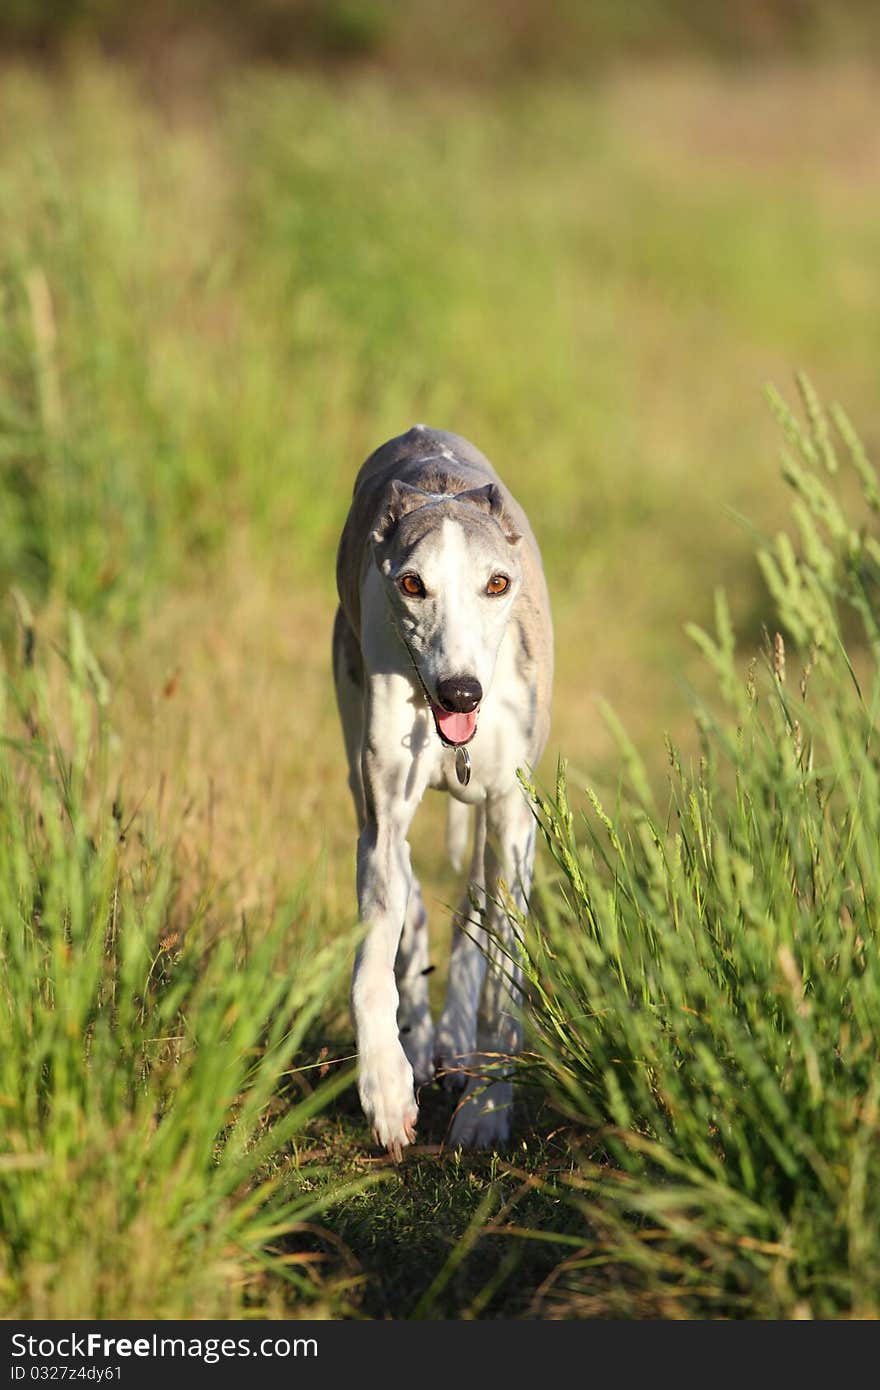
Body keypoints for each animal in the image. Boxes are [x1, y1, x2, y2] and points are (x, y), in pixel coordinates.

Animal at [332, 425, 553, 1162]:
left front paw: (486, 1109)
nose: (461, 693)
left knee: (473, 913)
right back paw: (425, 1042)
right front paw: (386, 1090)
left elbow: (505, 972)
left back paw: (455, 1041)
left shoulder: (514, 819)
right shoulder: (382, 814)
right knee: (409, 892)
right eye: (412, 583)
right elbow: (370, 967)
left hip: (495, 822)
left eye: (496, 584)